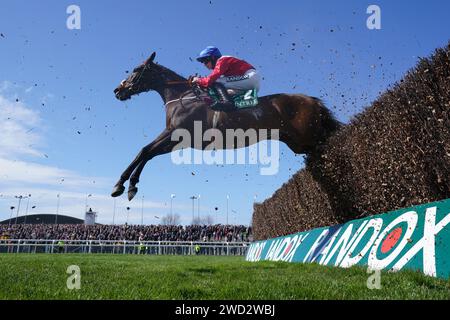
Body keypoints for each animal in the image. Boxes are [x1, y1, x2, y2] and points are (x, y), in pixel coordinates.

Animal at [112, 52, 342, 200]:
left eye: (136, 70)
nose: (118, 90)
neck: (181, 96)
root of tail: (312, 100)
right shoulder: (175, 139)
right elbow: (145, 151)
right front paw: (126, 185)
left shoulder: (177, 134)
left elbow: (146, 151)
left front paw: (124, 185)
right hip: (300, 143)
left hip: (310, 137)